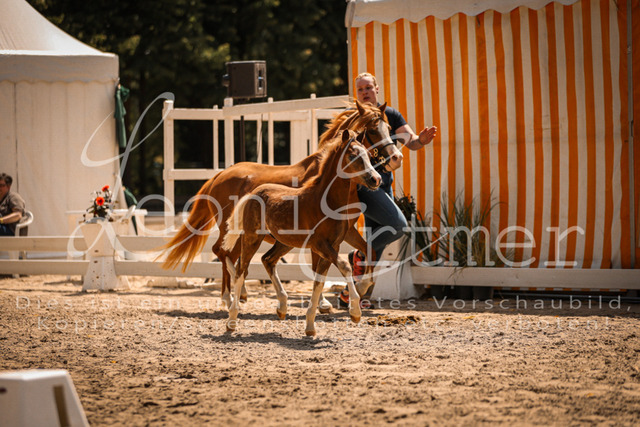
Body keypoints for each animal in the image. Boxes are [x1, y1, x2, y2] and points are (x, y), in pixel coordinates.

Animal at [161, 100, 402, 309]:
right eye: (373, 130)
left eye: (389, 127)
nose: (395, 158)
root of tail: (219, 175)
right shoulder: (319, 237)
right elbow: (317, 265)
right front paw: (324, 303)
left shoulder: (346, 231)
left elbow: (368, 251)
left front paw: (359, 288)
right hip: (233, 230)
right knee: (223, 253)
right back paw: (232, 297)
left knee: (231, 256)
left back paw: (237, 295)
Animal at [222, 129, 382, 336]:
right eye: (353, 156)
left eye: (369, 155)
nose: (376, 179)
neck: (326, 202)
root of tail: (253, 192)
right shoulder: (321, 245)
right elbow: (345, 267)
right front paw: (355, 312)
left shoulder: (335, 245)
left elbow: (320, 280)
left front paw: (310, 325)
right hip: (252, 237)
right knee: (242, 269)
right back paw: (232, 320)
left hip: (284, 242)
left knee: (267, 260)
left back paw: (282, 307)